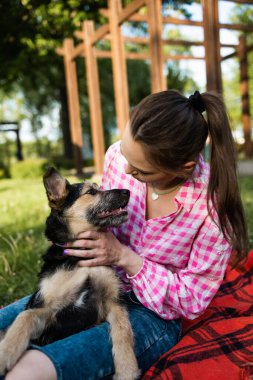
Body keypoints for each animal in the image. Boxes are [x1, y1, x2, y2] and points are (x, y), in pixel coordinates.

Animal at [0, 168, 139, 380]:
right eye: (91, 192)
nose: (127, 192)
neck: (80, 255)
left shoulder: (113, 301)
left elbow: (123, 329)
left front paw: (127, 369)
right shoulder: (46, 306)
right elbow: (25, 316)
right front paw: (6, 352)